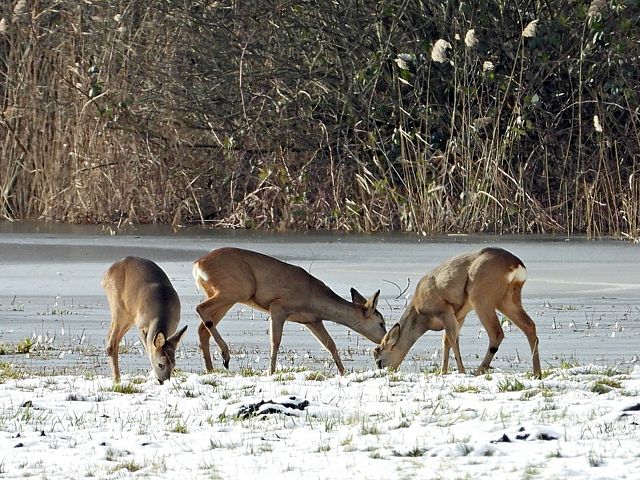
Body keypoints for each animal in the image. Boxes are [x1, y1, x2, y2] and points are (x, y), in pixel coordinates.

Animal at [101, 256, 188, 384]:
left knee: (110, 336)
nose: (163, 381)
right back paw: (117, 379)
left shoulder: (172, 329)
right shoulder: (141, 327)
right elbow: (149, 347)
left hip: (128, 317)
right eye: (160, 364)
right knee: (112, 343)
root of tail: (106, 273)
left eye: (173, 364)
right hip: (118, 307)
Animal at [192, 248, 388, 376]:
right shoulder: (278, 307)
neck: (312, 297)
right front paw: (270, 372)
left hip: (227, 296)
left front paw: (343, 372)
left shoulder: (312, 321)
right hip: (235, 291)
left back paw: (211, 368)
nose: (382, 341)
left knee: (202, 328)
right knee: (200, 309)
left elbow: (330, 344)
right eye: (381, 322)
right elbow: (275, 341)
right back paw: (225, 356)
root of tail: (198, 264)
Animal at [372, 248, 544, 378]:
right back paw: (537, 373)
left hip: (482, 298)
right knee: (530, 326)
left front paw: (460, 372)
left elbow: (453, 340)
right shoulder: (459, 315)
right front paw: (443, 372)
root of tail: (517, 265)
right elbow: (446, 341)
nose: (386, 372)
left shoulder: (445, 310)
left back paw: (478, 371)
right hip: (508, 299)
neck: (420, 313)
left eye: (379, 361)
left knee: (497, 333)